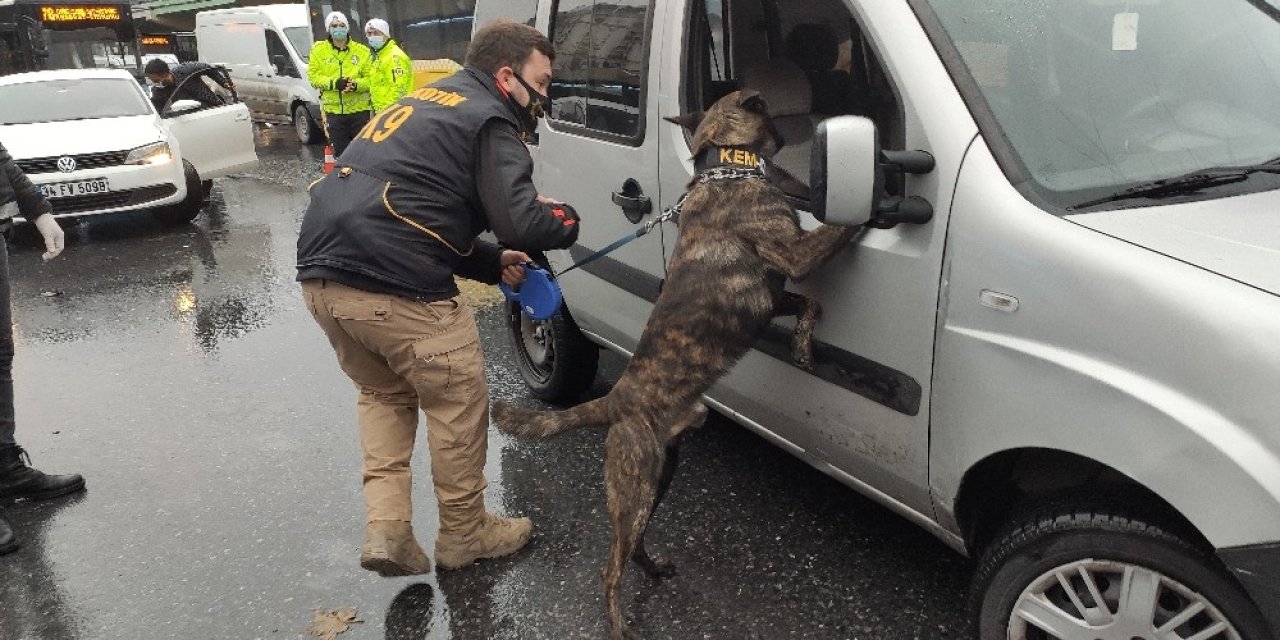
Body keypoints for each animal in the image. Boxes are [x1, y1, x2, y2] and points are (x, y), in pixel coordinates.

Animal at [488, 91, 860, 640]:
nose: (795, 146)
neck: (728, 167)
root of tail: (615, 400)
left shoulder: (776, 294)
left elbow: (809, 306)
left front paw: (801, 348)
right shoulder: (793, 255)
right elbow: (840, 228)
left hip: (661, 475)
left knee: (635, 542)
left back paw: (653, 567)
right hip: (636, 485)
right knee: (609, 567)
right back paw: (620, 622)